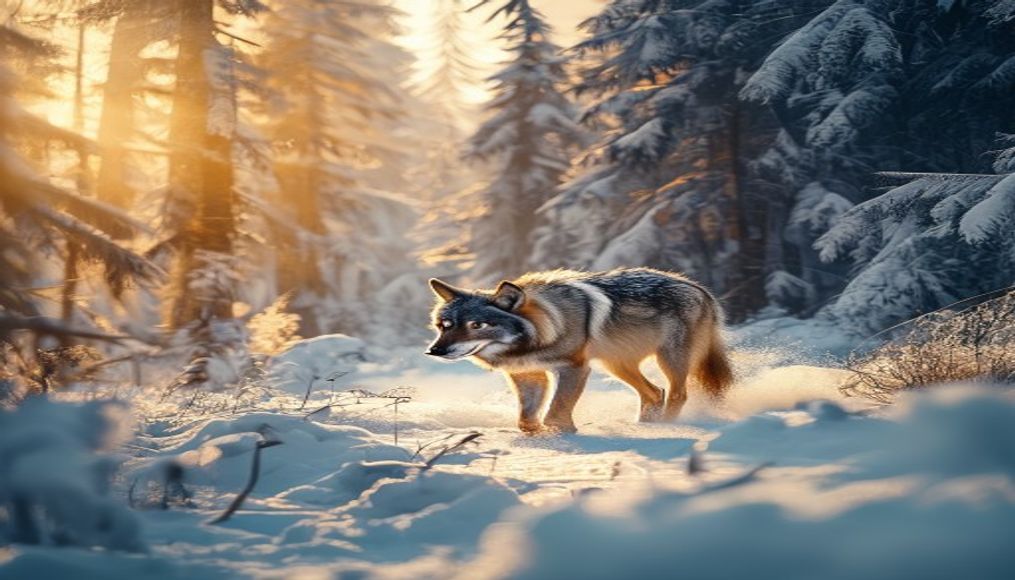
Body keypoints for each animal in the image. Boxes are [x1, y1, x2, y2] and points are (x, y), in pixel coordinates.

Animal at [425, 268, 733, 434]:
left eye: (476, 325)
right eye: (444, 325)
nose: (434, 351)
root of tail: (700, 288)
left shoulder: (573, 367)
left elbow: (555, 412)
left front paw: (564, 434)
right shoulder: (528, 375)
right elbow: (526, 420)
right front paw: (538, 436)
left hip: (668, 359)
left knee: (677, 394)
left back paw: (667, 428)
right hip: (617, 365)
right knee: (655, 393)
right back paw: (646, 427)